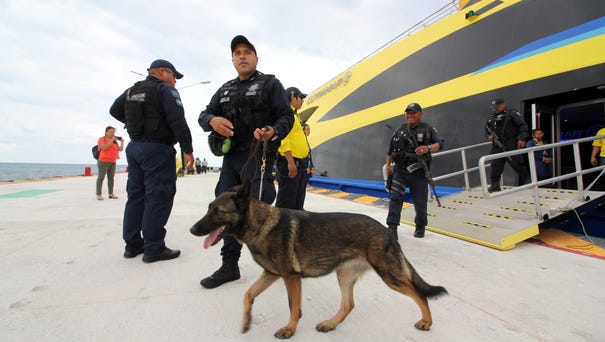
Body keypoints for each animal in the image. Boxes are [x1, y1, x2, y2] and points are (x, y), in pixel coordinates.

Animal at [191, 183, 446, 338]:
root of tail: (386, 231)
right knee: (348, 304)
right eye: (209, 209)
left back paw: (426, 321)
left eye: (217, 211)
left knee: (419, 294)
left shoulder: (290, 277)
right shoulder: (272, 274)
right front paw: (246, 321)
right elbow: (248, 295)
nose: (193, 230)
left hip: (389, 275)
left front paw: (290, 329)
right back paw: (330, 324)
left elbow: (294, 307)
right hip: (344, 275)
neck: (261, 223)